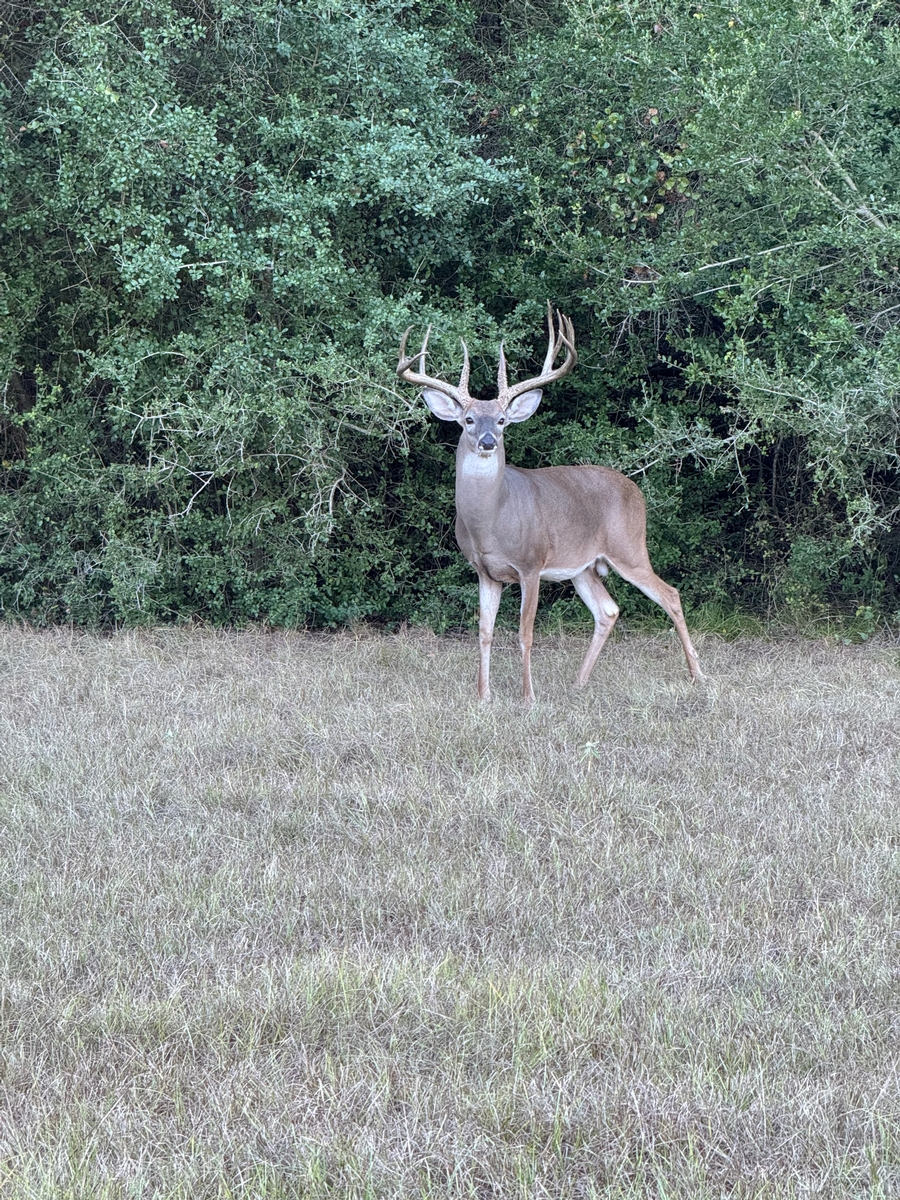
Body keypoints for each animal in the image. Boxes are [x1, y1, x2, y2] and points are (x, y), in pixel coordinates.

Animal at [396, 305, 703, 702]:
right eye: (468, 419)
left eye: (502, 420)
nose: (488, 441)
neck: (491, 521)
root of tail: (635, 489)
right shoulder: (484, 571)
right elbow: (484, 632)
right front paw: (484, 696)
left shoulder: (531, 563)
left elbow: (525, 633)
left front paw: (528, 697)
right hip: (584, 566)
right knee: (608, 609)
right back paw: (578, 682)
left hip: (629, 547)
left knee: (671, 595)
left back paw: (698, 674)